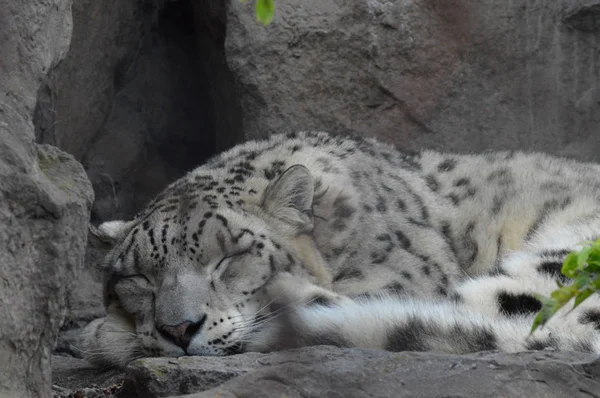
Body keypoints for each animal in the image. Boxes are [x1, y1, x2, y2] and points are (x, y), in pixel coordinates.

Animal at [82, 131, 600, 366]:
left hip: (565, 261)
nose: (178, 329)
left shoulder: (397, 275)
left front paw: (103, 333)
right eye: (138, 277)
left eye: (228, 258)